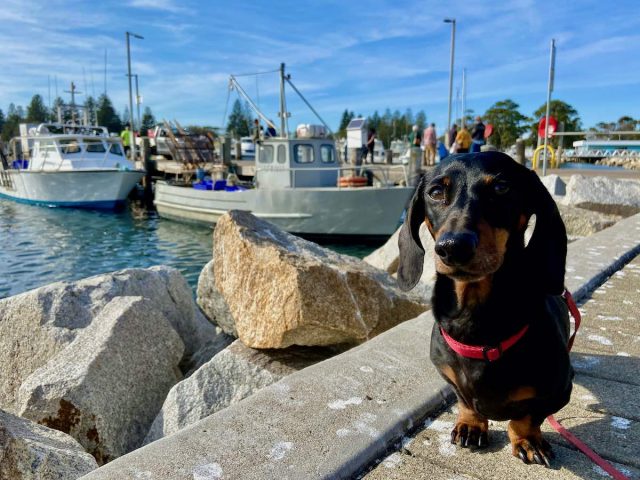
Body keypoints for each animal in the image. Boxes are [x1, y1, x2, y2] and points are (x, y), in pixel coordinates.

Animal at [398, 153, 572, 464]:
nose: (453, 247)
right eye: (436, 192)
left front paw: (528, 439)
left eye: (502, 187)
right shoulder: (449, 376)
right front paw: (471, 425)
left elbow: (528, 416)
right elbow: (465, 401)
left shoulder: (561, 390)